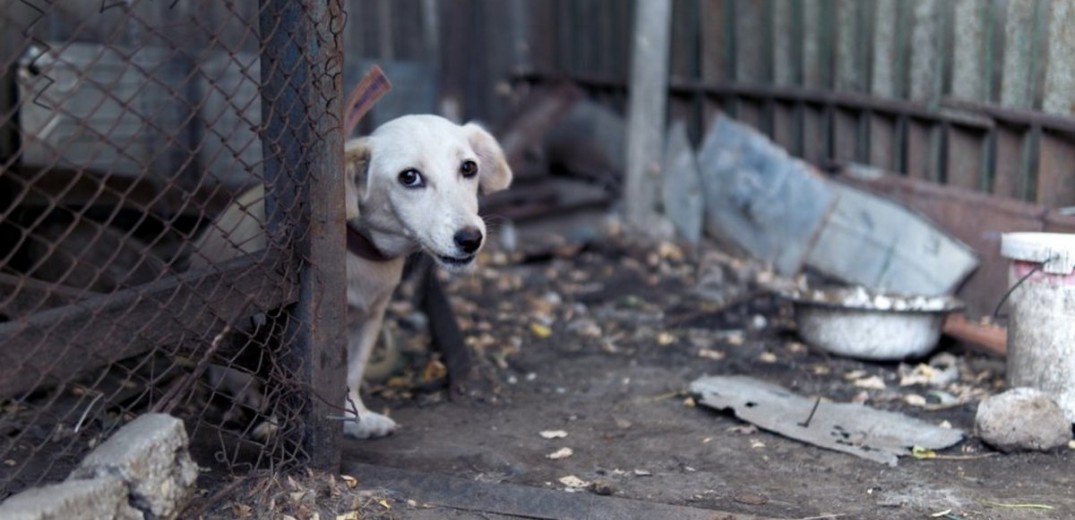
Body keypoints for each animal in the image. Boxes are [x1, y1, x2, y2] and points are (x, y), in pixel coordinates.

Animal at [192, 114, 511, 438]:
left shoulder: (369, 318)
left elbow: (352, 372)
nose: (471, 239)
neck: (359, 253)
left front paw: (356, 418)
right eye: (410, 177)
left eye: (468, 168)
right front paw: (280, 426)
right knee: (228, 377)